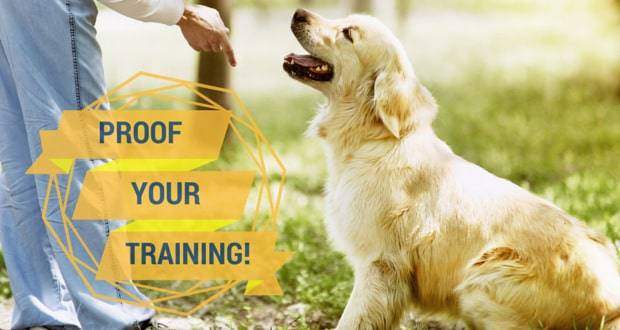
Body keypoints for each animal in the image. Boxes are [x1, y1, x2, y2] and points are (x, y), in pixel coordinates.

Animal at [284, 7, 620, 330]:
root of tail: (611, 305)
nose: (298, 13)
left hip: (481, 279)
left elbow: (352, 319)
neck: (375, 140)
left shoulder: (380, 264)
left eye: (348, 33)